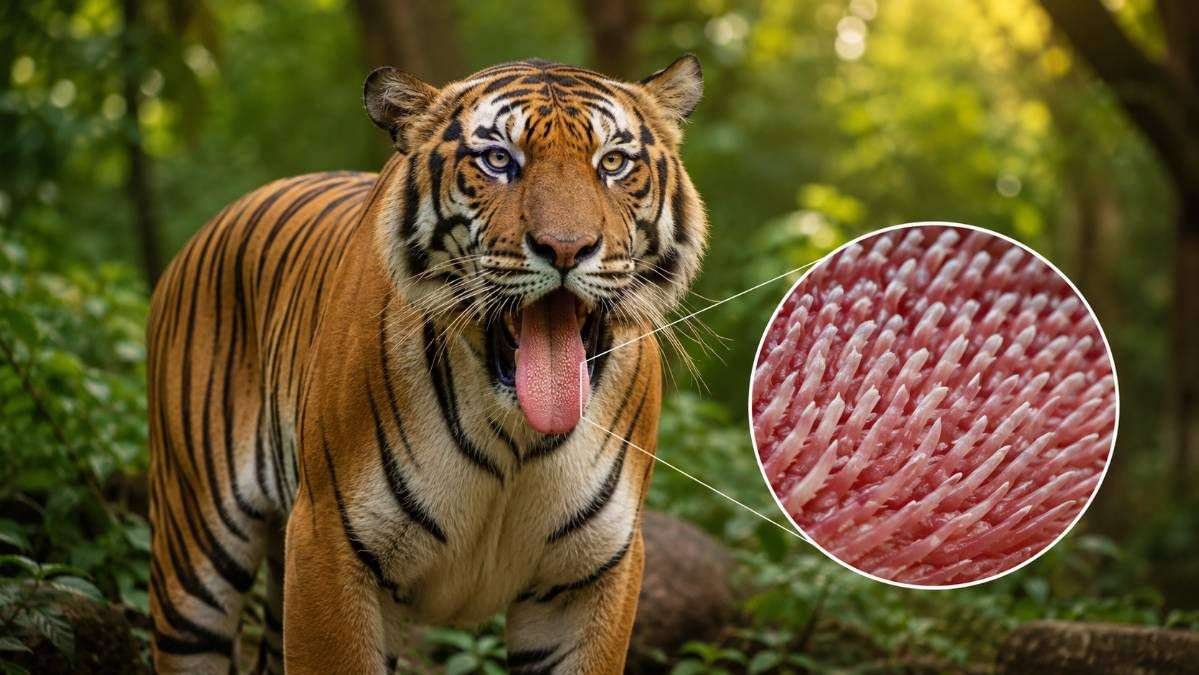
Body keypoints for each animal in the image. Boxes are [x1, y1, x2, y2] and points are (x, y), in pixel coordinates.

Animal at [146, 55, 707, 674]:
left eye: (612, 162)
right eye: (498, 160)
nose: (566, 247)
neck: (516, 436)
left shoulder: (595, 572)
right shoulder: (329, 542)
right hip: (193, 557)